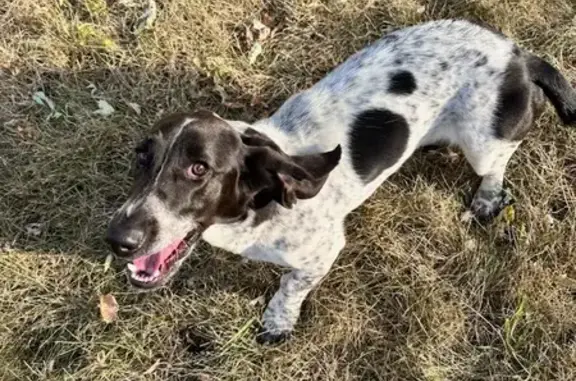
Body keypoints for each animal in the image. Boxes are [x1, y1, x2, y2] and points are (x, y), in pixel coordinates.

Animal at [104, 19, 576, 342]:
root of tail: (517, 54)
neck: (262, 203)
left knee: (495, 166)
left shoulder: (321, 252)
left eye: (199, 169)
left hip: (483, 143)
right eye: (142, 156)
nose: (117, 240)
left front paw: (277, 323)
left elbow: (289, 287)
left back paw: (486, 198)